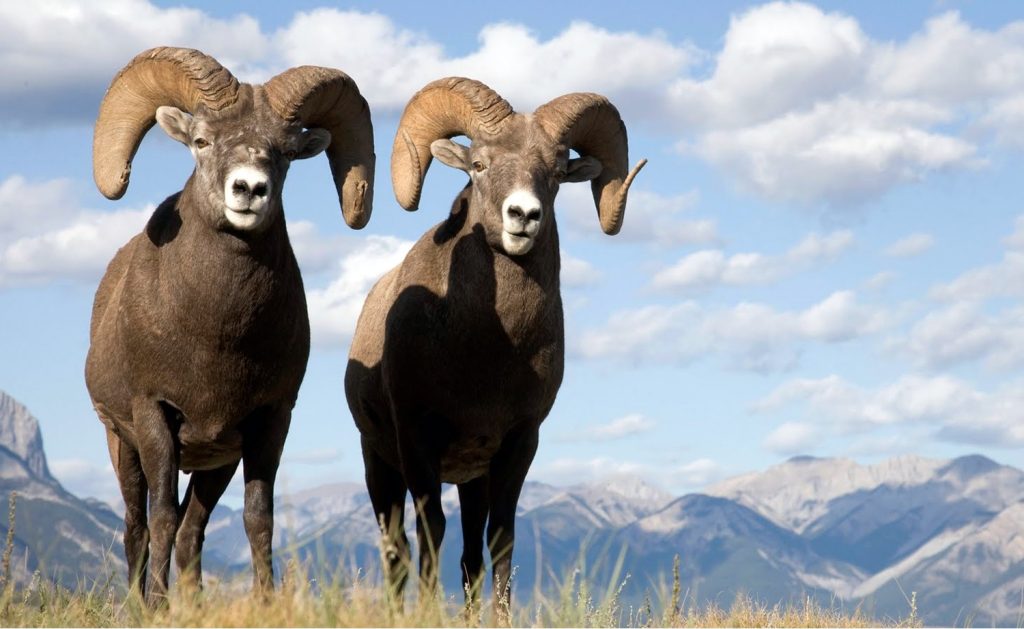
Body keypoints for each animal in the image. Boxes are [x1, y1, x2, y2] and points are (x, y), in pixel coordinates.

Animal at [87, 45, 376, 606]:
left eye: (284, 153)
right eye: (201, 141)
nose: (248, 189)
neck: (216, 339)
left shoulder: (267, 421)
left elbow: (257, 519)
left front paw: (266, 601)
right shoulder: (153, 416)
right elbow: (159, 517)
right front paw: (158, 608)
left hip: (214, 463)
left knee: (192, 530)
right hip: (122, 445)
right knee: (138, 527)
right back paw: (140, 604)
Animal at [348, 76, 643, 614]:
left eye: (555, 173)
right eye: (480, 165)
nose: (523, 215)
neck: (487, 354)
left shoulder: (517, 444)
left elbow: (499, 540)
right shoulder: (417, 439)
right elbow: (430, 531)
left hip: (471, 481)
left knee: (468, 557)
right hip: (379, 464)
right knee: (397, 550)